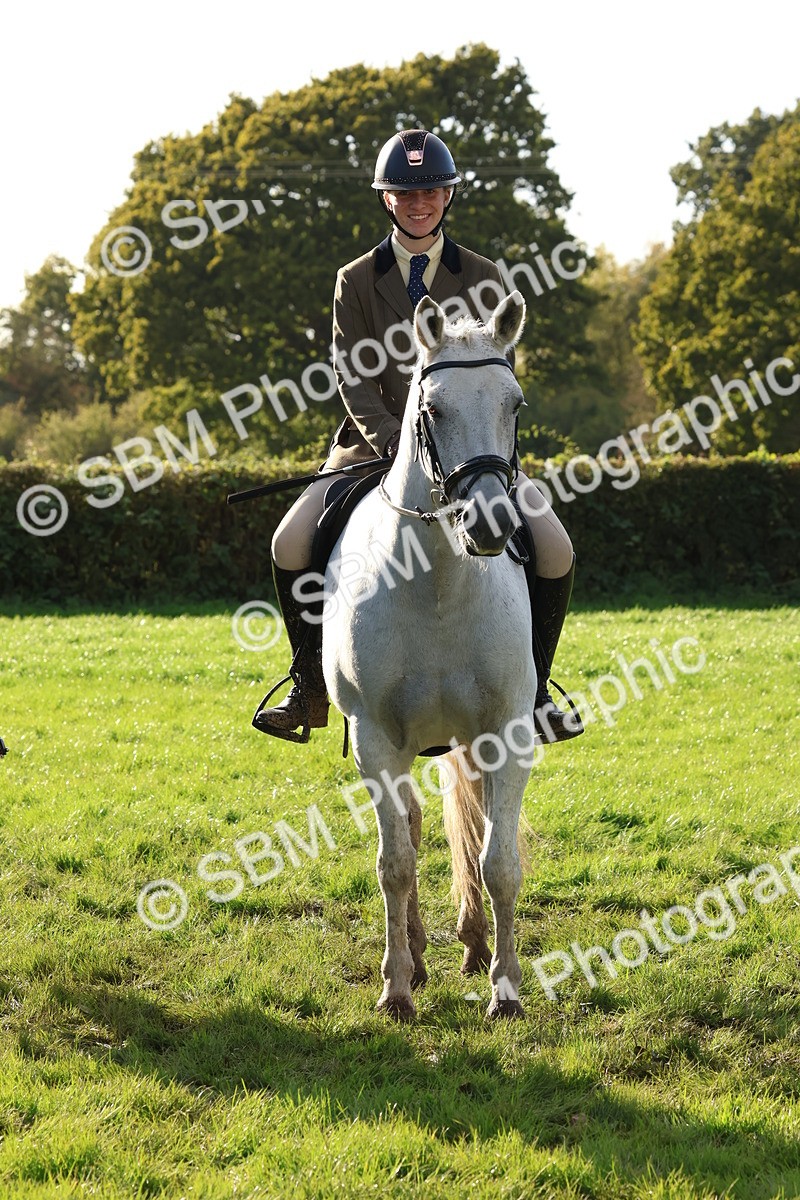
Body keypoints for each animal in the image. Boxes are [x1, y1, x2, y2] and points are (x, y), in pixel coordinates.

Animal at [322, 290, 536, 1021]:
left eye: (514, 405)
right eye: (432, 409)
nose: (491, 523)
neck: (439, 582)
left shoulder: (508, 732)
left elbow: (499, 862)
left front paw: (505, 990)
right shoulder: (375, 739)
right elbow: (396, 864)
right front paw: (395, 989)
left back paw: (471, 947)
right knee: (411, 831)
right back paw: (415, 958)